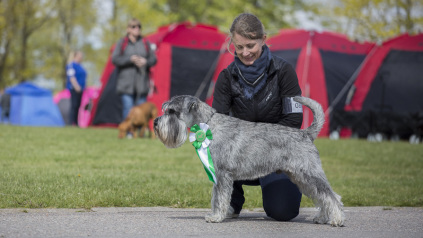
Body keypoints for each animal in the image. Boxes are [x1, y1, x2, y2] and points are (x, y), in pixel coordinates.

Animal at [154, 95, 346, 227]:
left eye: (172, 111)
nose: (155, 122)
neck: (209, 126)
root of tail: (306, 134)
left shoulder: (223, 175)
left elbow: (221, 198)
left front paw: (216, 217)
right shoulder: (217, 175)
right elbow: (216, 198)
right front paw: (215, 214)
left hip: (310, 174)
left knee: (331, 196)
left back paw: (337, 219)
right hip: (301, 178)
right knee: (321, 196)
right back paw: (322, 218)